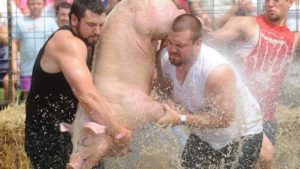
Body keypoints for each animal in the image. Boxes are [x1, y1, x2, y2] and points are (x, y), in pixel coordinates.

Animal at [61, 0, 182, 169]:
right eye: (72, 142)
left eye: (85, 140)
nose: (70, 164)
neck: (114, 114)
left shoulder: (140, 105)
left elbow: (158, 110)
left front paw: (175, 109)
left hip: (161, 21)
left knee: (181, 13)